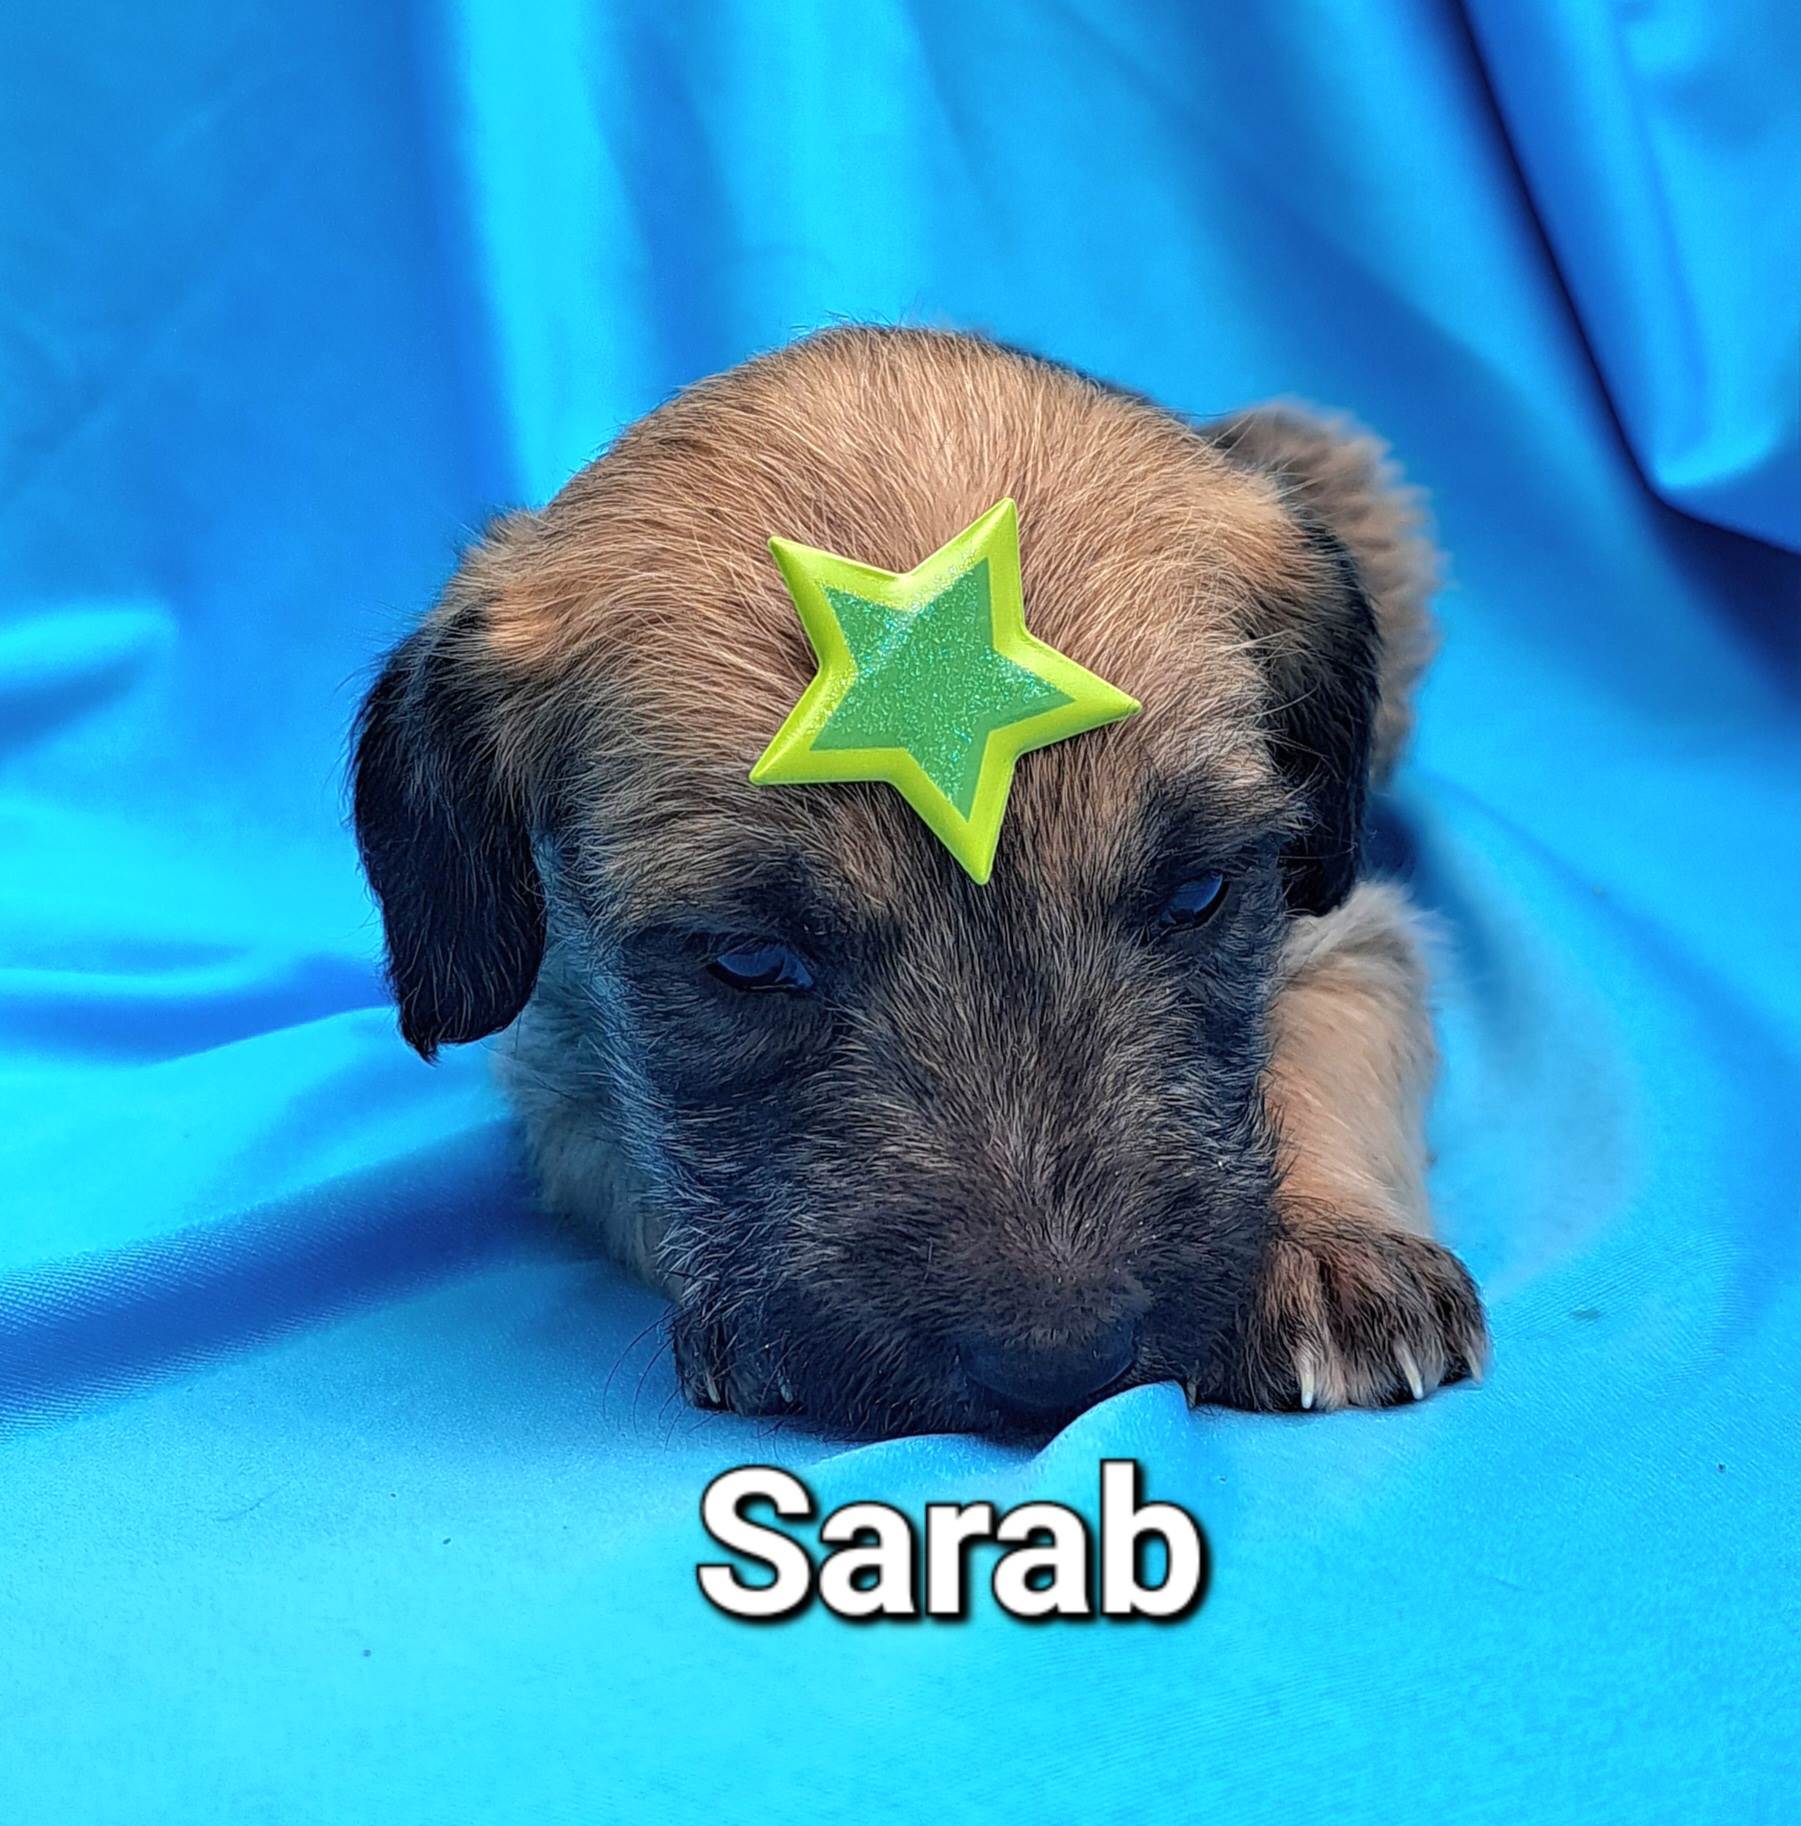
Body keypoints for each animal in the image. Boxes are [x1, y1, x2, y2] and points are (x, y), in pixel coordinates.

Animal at [352, 326, 1488, 1436]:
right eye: (746, 959)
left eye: (1196, 895)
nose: (1062, 1364)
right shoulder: (557, 1064)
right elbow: (642, 1152)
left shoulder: (1341, 929)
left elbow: (1321, 1049)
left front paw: (1326, 1242)